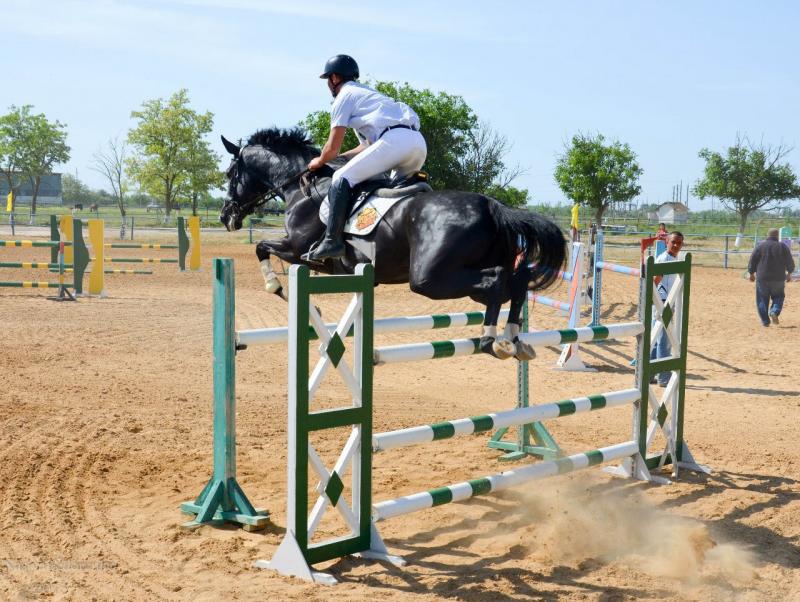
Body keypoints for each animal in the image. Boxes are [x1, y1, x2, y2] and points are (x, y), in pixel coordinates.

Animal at [219, 127, 566, 360]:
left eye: (230, 174)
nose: (226, 216)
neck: (301, 186)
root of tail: (492, 206)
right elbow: (263, 248)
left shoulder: (297, 248)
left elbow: (262, 248)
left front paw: (278, 288)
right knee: (516, 283)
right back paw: (514, 339)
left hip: (428, 279)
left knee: (497, 281)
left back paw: (490, 339)